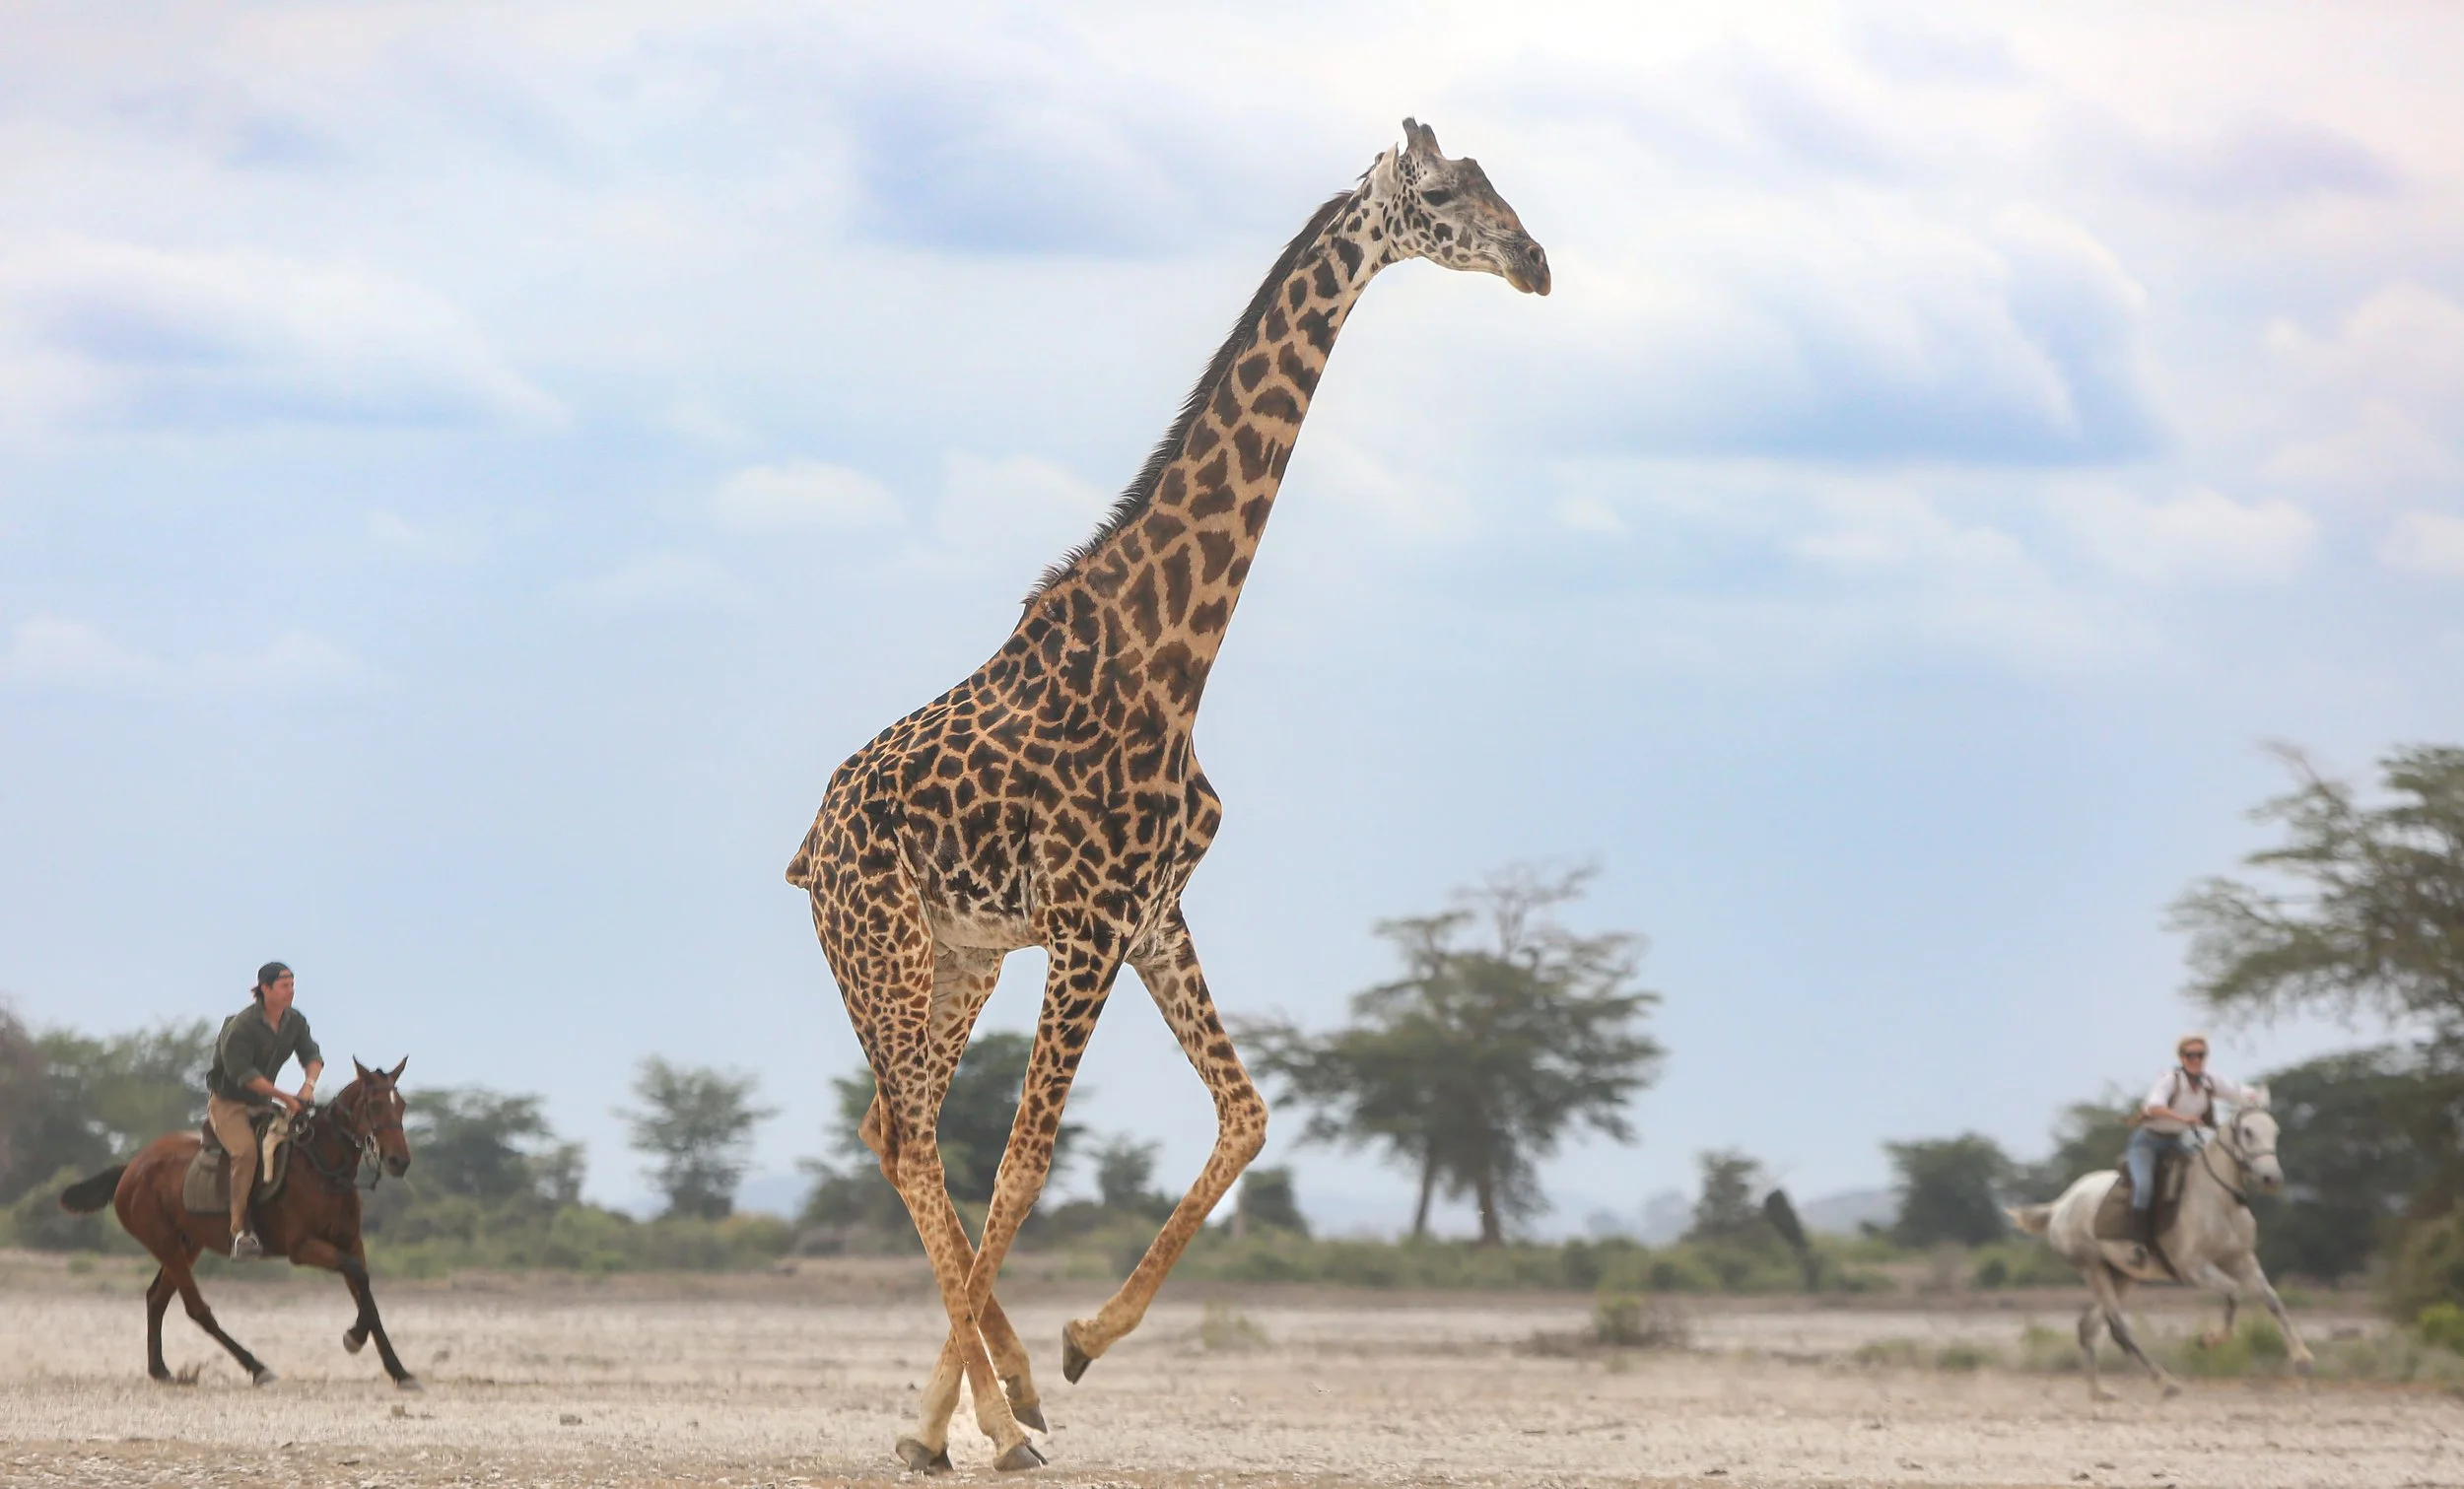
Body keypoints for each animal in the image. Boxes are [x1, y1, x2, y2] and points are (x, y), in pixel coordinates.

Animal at [56, 1057, 419, 1389]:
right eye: (374, 1104)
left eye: (400, 1105)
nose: (399, 1161)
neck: (321, 1168)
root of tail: (131, 1168)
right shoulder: (303, 1247)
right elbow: (359, 1277)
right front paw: (355, 1338)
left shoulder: (350, 1242)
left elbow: (364, 1290)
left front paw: (398, 1370)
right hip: (165, 1243)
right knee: (196, 1309)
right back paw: (257, 1368)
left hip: (187, 1245)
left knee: (157, 1298)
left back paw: (160, 1369)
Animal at [786, 119, 1548, 1472]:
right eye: (1445, 192)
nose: (1537, 260)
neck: (1171, 651)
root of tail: (805, 845)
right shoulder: (1088, 920)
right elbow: (1028, 1158)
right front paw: (955, 1419)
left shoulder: (1151, 913)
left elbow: (1247, 1113)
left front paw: (1081, 1342)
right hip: (879, 945)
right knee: (917, 1131)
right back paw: (975, 1416)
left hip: (958, 954)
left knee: (891, 1125)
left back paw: (1011, 1387)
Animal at [2009, 1091, 2313, 1399]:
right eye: (2248, 1131)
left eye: (2274, 1131)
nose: (2272, 1179)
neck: (2218, 1199)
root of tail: (2060, 1205)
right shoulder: (2195, 1268)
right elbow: (2233, 1292)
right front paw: (2209, 1340)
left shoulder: (2242, 1259)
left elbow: (2272, 1300)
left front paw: (2302, 1358)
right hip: (2093, 1270)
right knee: (2119, 1327)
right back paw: (2166, 1382)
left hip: (2122, 1275)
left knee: (2088, 1327)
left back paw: (2100, 1391)